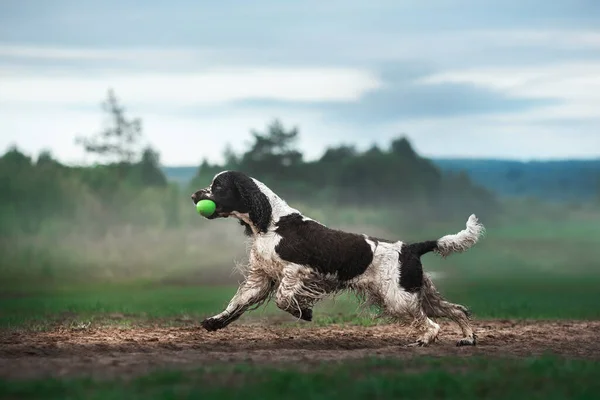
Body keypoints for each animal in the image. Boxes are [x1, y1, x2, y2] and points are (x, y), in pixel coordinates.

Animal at [192, 170, 488, 346]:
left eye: (218, 186)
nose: (195, 195)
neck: (271, 223)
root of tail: (411, 247)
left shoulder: (297, 270)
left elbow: (284, 299)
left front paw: (305, 312)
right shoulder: (260, 278)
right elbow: (237, 302)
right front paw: (215, 322)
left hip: (399, 298)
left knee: (434, 323)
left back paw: (425, 340)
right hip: (416, 292)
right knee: (457, 310)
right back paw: (468, 339)